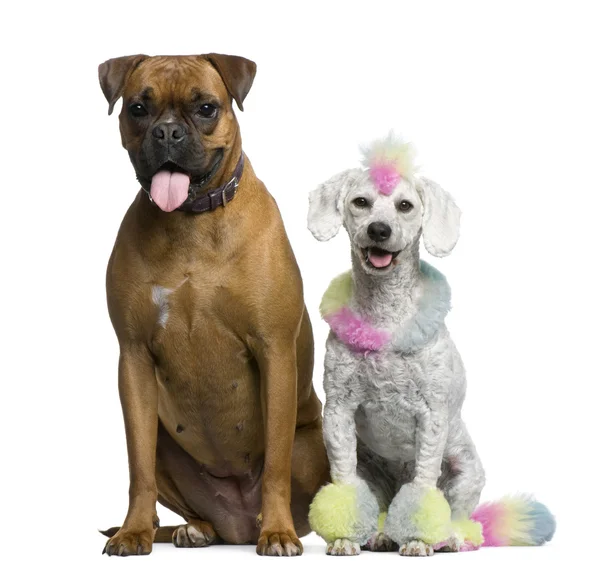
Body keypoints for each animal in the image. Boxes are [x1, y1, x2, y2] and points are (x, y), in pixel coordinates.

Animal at [99, 53, 330, 552]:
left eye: (205, 108)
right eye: (138, 108)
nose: (167, 133)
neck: (190, 221)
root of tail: (237, 527)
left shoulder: (274, 351)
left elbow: (276, 463)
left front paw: (278, 532)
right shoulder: (133, 358)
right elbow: (137, 468)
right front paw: (133, 532)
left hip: (315, 442)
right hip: (167, 444)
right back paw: (193, 529)